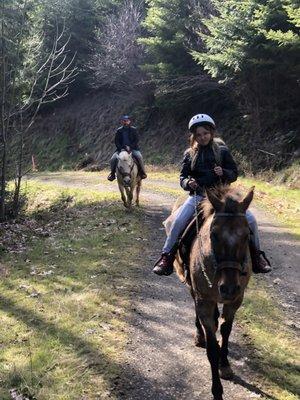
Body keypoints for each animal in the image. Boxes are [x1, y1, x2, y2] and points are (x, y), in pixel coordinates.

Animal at [172, 187, 254, 400]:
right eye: (214, 234)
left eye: (246, 236)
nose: (229, 288)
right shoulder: (205, 301)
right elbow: (211, 349)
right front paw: (217, 390)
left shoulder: (235, 300)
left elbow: (225, 331)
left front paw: (224, 366)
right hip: (193, 289)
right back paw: (199, 335)